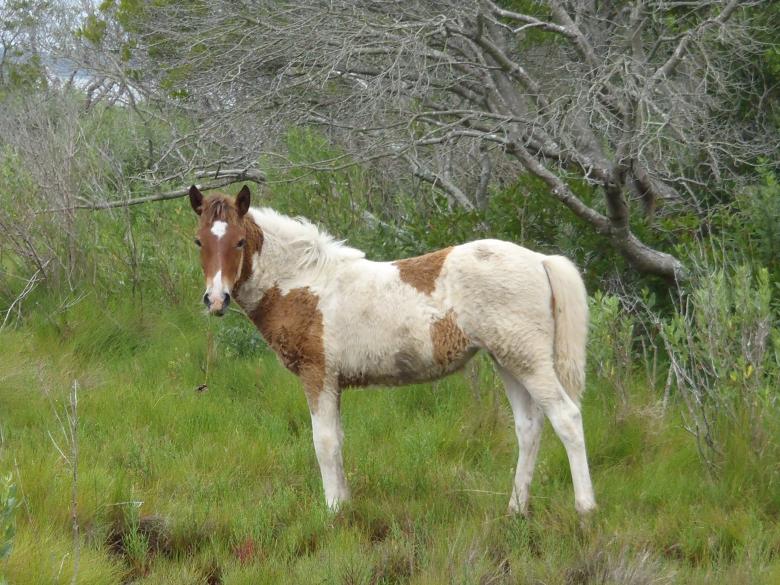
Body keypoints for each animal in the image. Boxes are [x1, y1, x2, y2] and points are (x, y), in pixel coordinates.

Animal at [188, 184, 596, 516]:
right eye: (199, 241)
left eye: (240, 241)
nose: (216, 300)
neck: (303, 283)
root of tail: (540, 260)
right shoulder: (333, 383)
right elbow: (338, 441)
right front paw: (344, 503)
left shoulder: (318, 375)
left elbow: (323, 442)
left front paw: (333, 512)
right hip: (507, 361)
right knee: (528, 427)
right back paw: (515, 510)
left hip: (528, 361)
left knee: (567, 418)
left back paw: (585, 509)